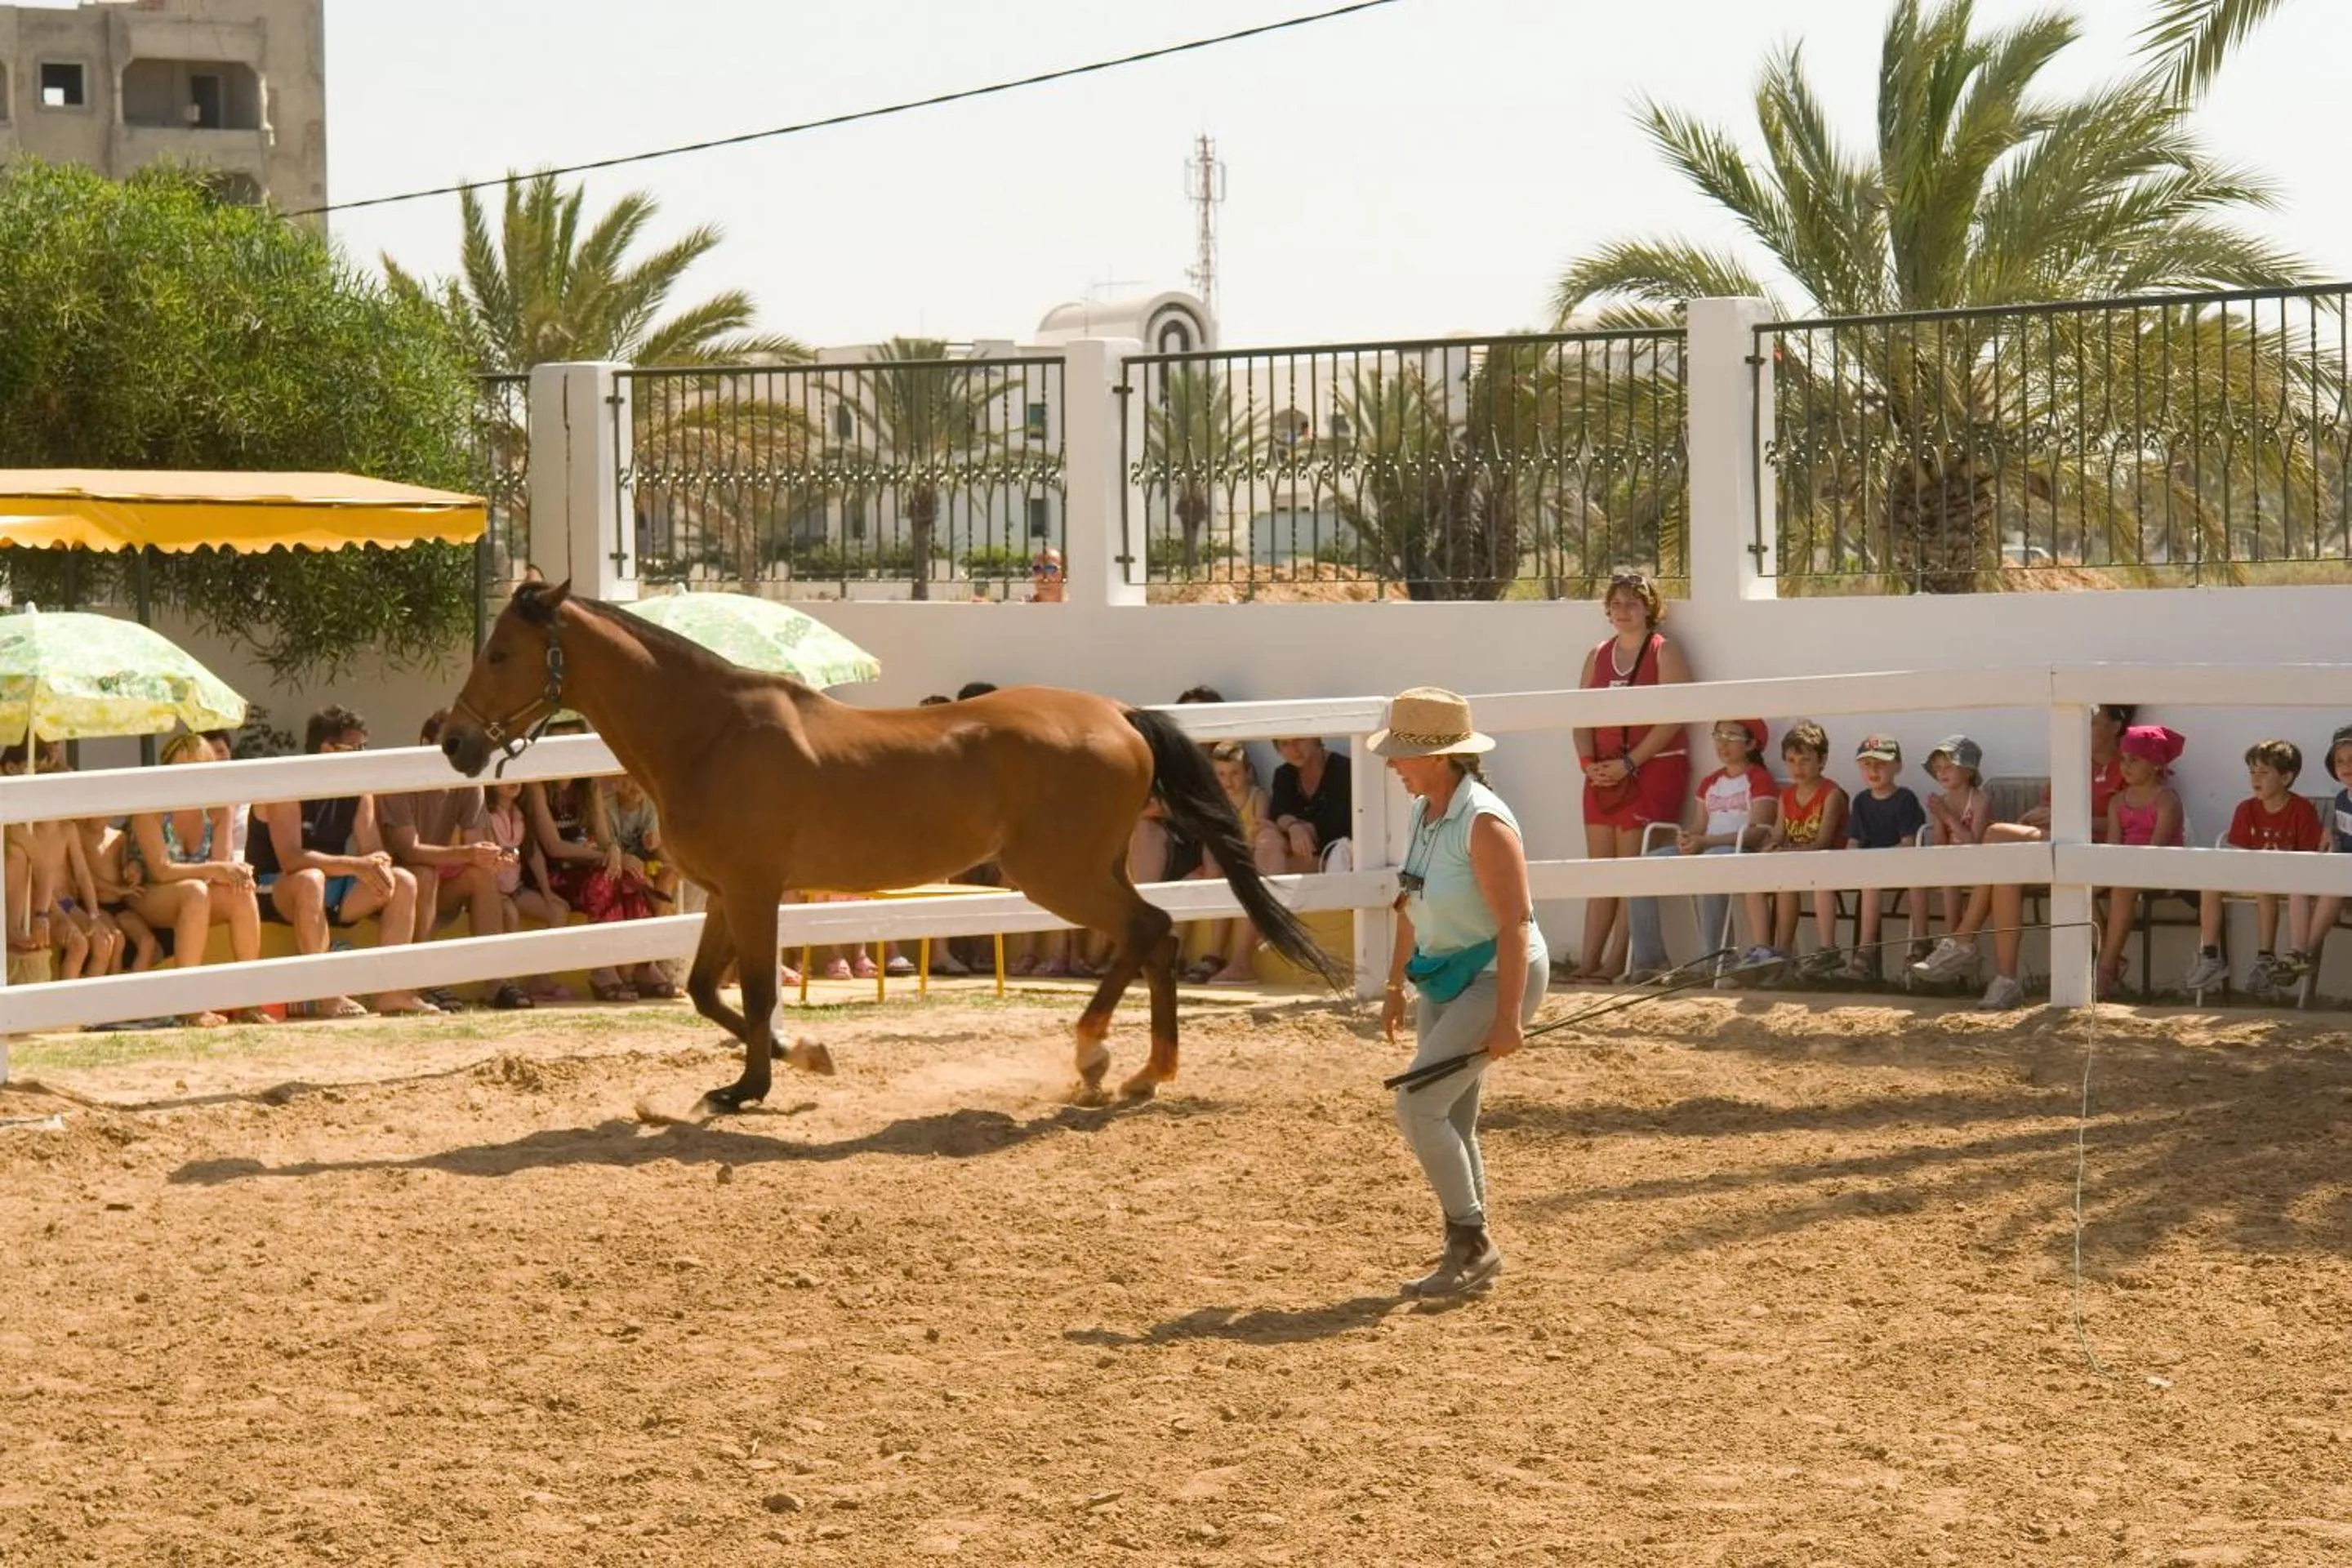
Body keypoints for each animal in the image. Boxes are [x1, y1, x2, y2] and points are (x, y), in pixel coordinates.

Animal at [438, 580, 1348, 1110]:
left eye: (501, 652)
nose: (453, 743)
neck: (710, 733)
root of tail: (1119, 715)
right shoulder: (727, 892)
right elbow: (704, 991)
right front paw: (804, 1055)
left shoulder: (757, 889)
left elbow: (756, 992)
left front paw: (751, 1086)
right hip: (1087, 869)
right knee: (1151, 938)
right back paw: (1135, 1072)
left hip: (1056, 874)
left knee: (1149, 931)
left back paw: (1103, 1057)